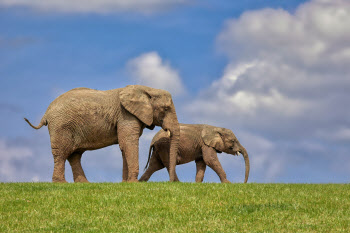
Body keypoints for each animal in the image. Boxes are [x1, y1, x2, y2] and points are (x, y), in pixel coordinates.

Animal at [25, 84, 180, 183]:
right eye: (166, 109)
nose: (171, 182)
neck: (147, 89)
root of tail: (46, 113)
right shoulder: (126, 115)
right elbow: (128, 143)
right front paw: (133, 183)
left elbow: (124, 146)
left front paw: (125, 183)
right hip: (61, 126)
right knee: (62, 153)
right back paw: (61, 184)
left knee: (74, 155)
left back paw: (84, 184)